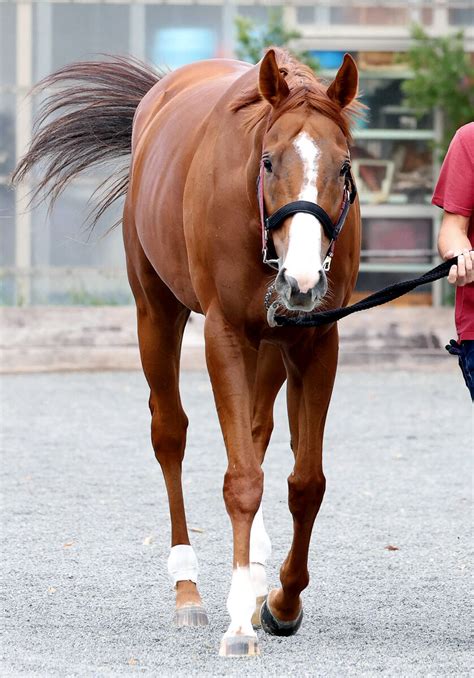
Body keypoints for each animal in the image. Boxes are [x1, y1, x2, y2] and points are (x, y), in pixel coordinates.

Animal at [13, 49, 362, 660]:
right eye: (268, 161)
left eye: (342, 168)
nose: (301, 280)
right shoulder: (224, 335)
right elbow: (241, 480)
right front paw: (240, 622)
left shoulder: (317, 341)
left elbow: (305, 482)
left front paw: (281, 601)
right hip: (156, 312)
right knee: (170, 433)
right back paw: (189, 588)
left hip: (270, 348)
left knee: (258, 431)